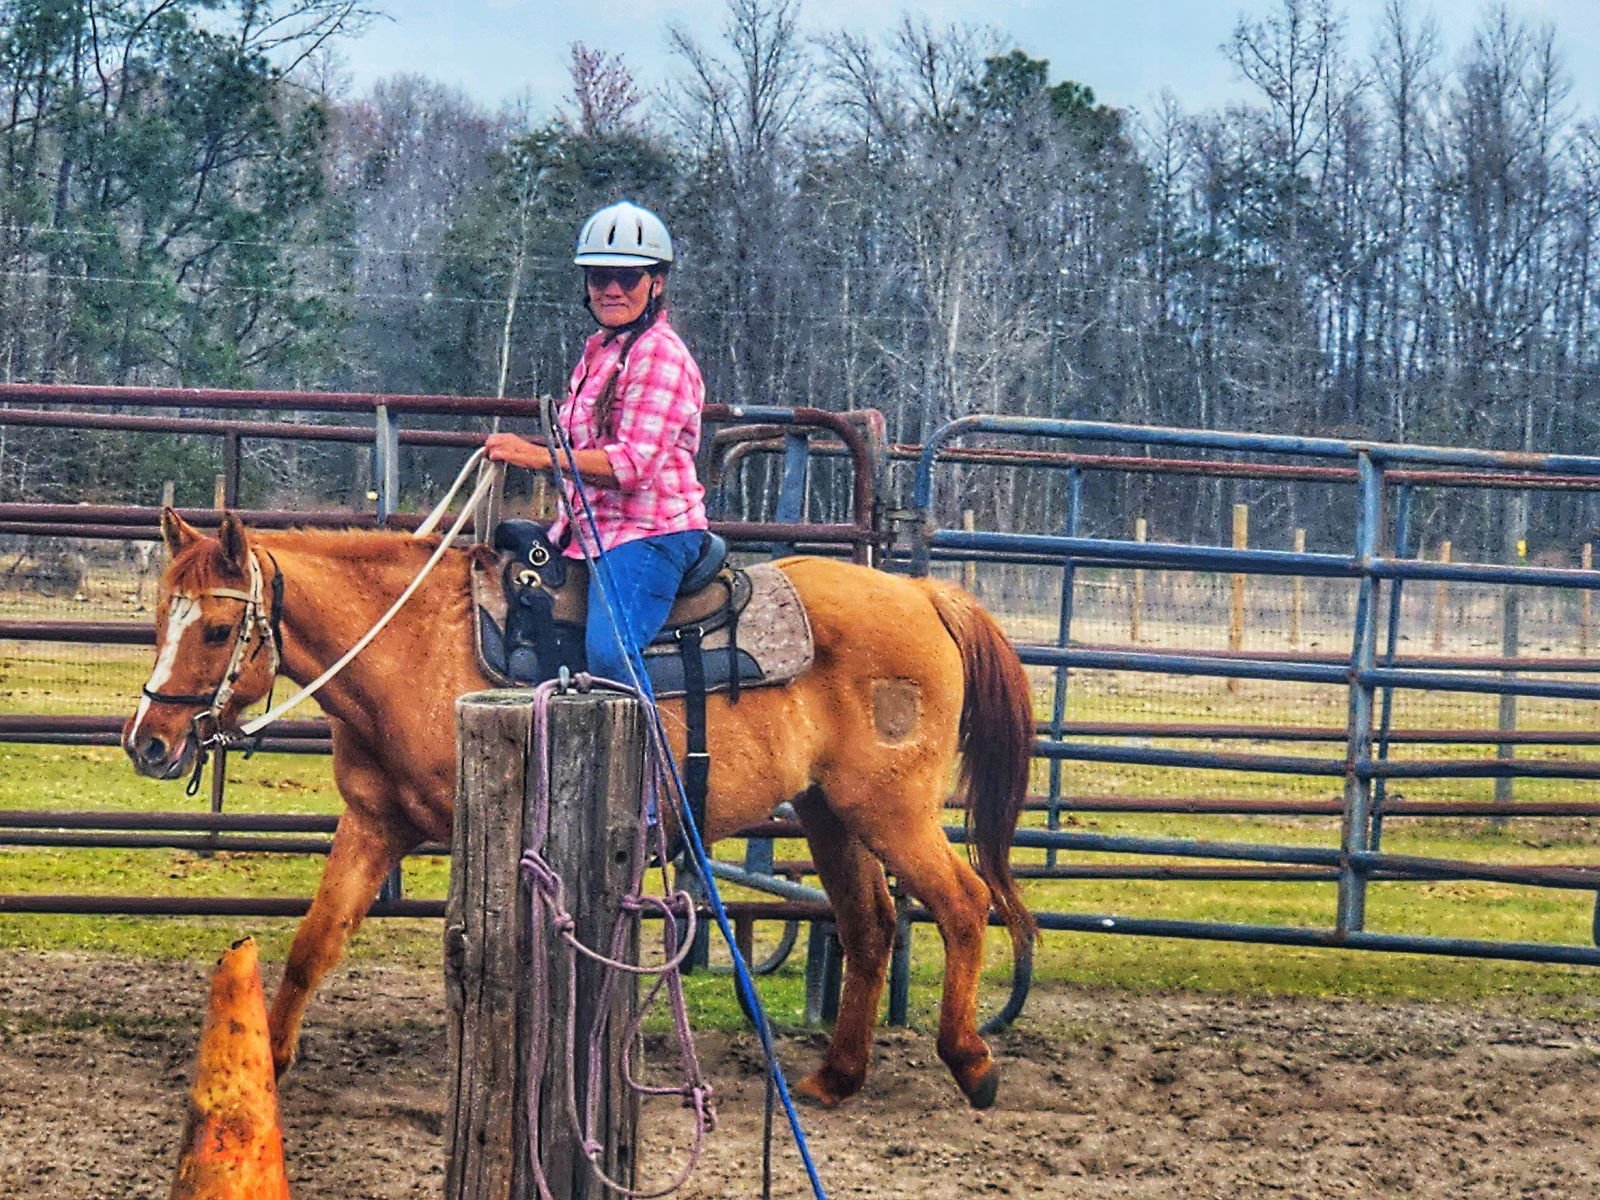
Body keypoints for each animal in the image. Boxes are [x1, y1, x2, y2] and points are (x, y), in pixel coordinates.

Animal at [121, 508, 1037, 1109]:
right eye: (159, 617)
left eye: (214, 632)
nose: (148, 744)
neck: (413, 643)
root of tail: (925, 595)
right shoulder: (374, 824)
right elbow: (316, 941)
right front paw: (267, 1064)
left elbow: (490, 955)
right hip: (828, 812)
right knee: (871, 922)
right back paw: (834, 1078)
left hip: (892, 810)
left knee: (963, 904)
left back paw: (972, 1062)